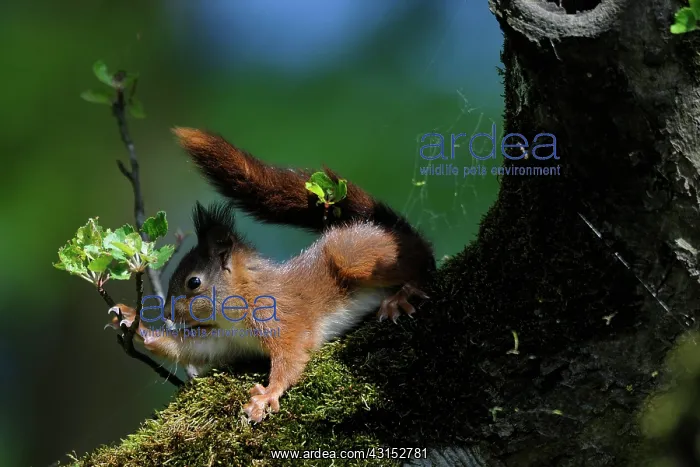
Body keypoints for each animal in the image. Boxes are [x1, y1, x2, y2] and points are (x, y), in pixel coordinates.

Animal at [109, 127, 436, 423]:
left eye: (194, 282)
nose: (166, 313)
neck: (241, 301)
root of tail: (393, 232)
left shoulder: (280, 319)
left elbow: (290, 358)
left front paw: (267, 395)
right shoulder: (226, 339)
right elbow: (190, 348)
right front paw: (133, 321)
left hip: (353, 257)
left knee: (424, 264)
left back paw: (404, 293)